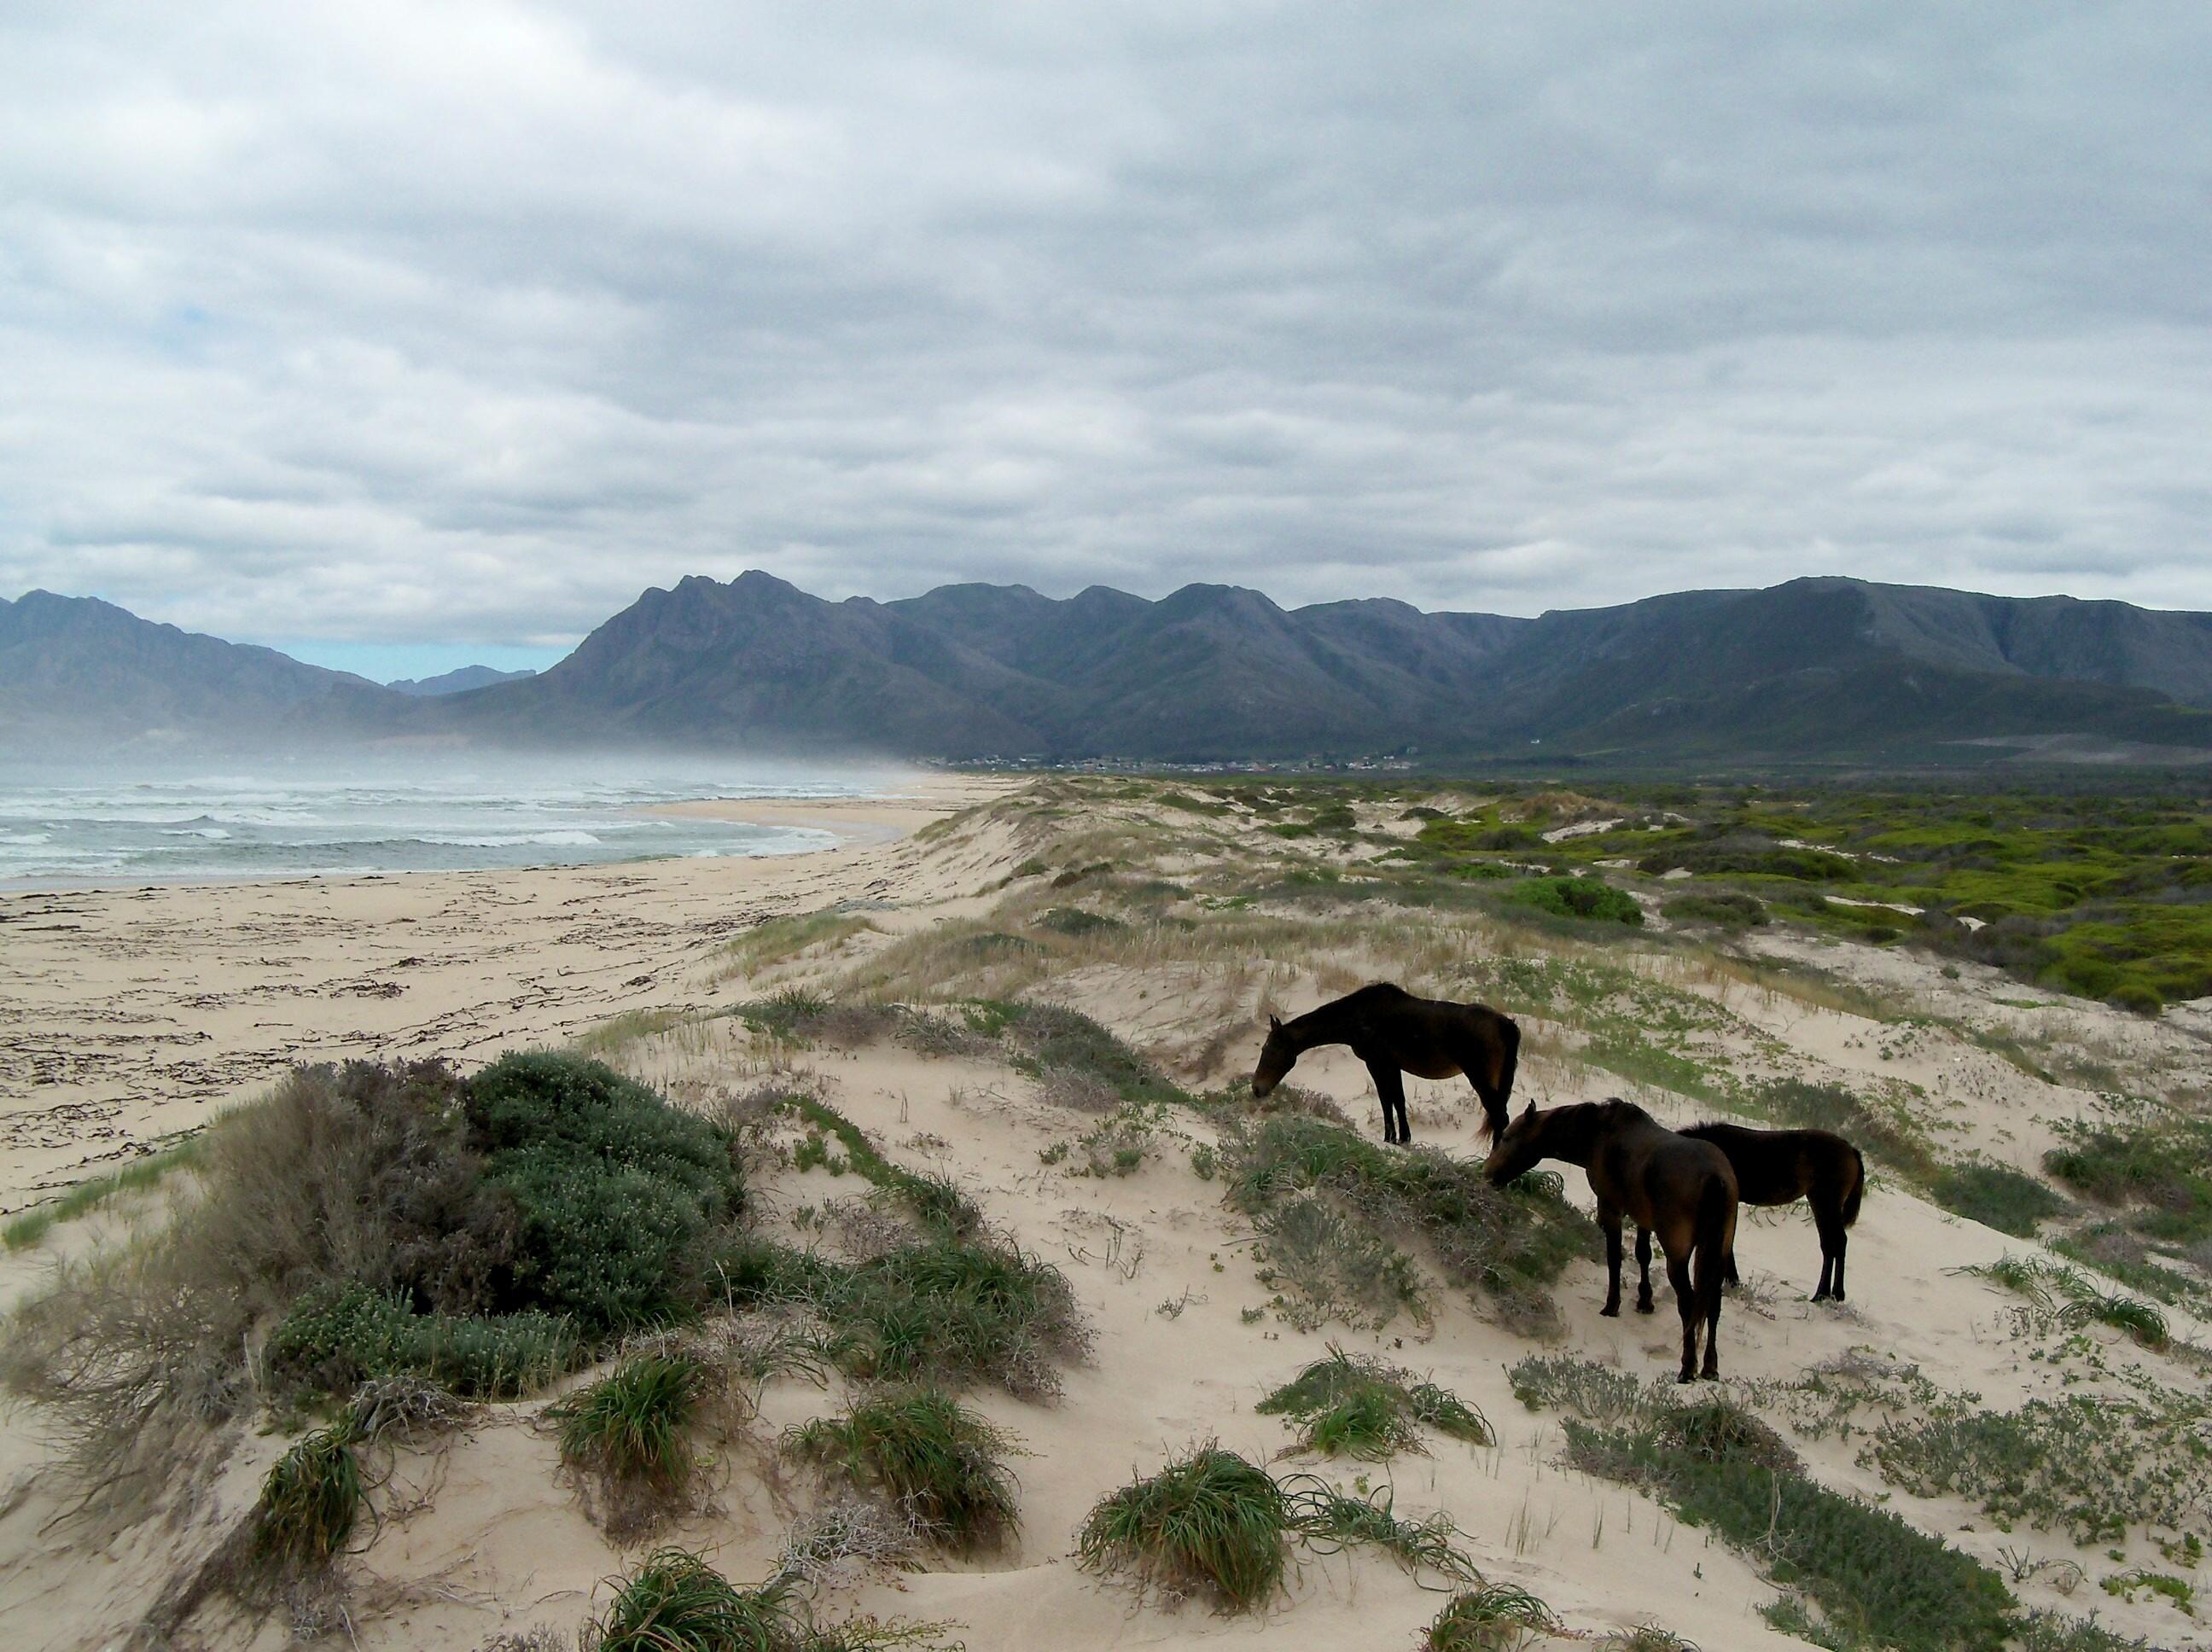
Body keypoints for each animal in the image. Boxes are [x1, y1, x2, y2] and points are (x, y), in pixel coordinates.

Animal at [1250, 982, 1520, 1146]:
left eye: (1270, 1050)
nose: (1256, 1088)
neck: (1358, 1017)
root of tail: (1506, 1024)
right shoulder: (1392, 1065)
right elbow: (1398, 1100)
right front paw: (1403, 1138)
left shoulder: (1377, 1063)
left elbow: (1385, 1100)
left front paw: (1389, 1138)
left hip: (1480, 1078)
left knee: (1500, 1117)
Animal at [1486, 1099, 1737, 1382]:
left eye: (1507, 1137)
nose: (1487, 1173)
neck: (1598, 1134)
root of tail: (1715, 1177)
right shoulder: (1643, 1218)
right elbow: (1642, 1254)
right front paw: (1644, 1301)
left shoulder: (1610, 1209)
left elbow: (1615, 1258)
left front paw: (1612, 1305)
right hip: (1718, 1252)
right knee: (1713, 1303)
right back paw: (1709, 1366)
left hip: (1678, 1255)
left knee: (1688, 1302)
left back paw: (1687, 1367)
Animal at [1634, 1122, 1864, 1303]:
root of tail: (1852, 1150)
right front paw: (1733, 1280)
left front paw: (1732, 1279)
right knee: (1833, 1244)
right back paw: (1832, 1294)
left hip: (1825, 1201)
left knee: (1834, 1243)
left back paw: (1825, 1294)